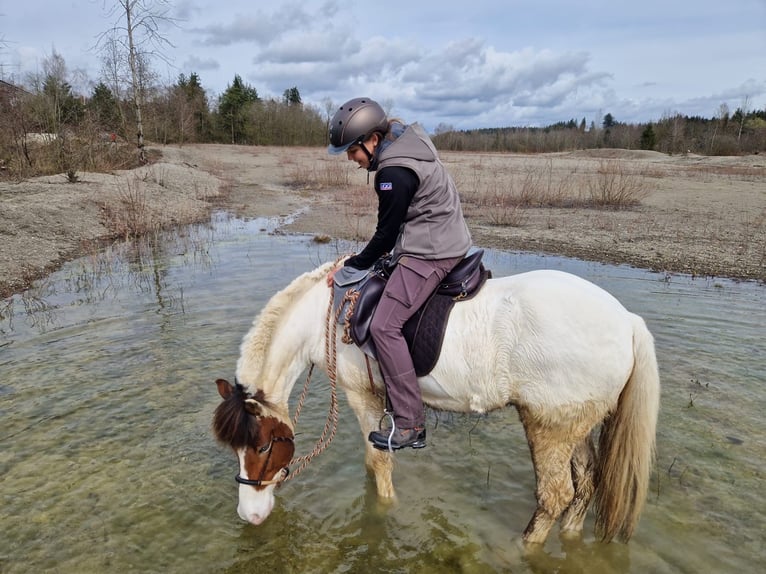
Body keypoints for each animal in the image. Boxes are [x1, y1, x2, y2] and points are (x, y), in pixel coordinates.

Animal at [212, 259, 660, 545]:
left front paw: (385, 511)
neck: (326, 315)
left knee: (555, 496)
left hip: (548, 428)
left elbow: (380, 461)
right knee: (586, 485)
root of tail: (627, 321)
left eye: (263, 446)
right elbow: (370, 461)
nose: (250, 515)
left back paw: (524, 548)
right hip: (574, 426)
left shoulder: (362, 395)